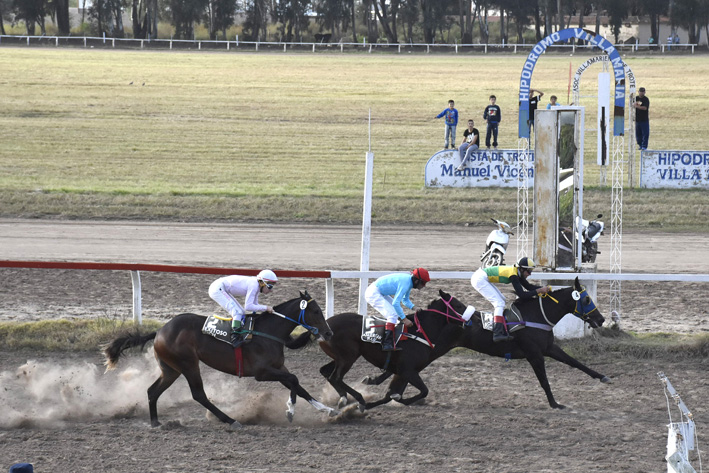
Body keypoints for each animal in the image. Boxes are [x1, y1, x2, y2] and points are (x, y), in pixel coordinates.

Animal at [103, 290, 336, 430]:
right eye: (316, 311)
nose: (329, 333)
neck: (268, 332)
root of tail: (160, 330)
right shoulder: (262, 373)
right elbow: (295, 380)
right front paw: (291, 410)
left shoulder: (278, 368)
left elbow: (298, 385)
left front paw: (326, 410)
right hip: (188, 364)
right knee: (198, 394)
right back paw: (230, 420)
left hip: (171, 369)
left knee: (153, 391)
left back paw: (156, 422)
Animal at [318, 288, 468, 410]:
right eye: (458, 305)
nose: (469, 319)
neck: (419, 332)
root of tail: (325, 326)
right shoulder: (408, 370)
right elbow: (424, 391)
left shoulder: (403, 371)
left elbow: (394, 393)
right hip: (348, 357)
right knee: (336, 378)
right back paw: (358, 399)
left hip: (341, 357)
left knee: (326, 372)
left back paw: (344, 398)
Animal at [366, 278, 608, 408]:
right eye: (587, 299)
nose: (601, 319)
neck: (537, 316)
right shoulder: (535, 354)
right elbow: (544, 381)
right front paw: (555, 403)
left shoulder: (548, 348)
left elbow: (575, 362)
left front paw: (602, 376)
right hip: (436, 349)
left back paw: (373, 382)